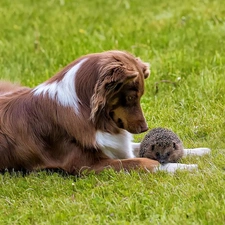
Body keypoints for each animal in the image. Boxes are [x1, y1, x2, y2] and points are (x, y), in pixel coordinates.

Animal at [0, 51, 199, 176]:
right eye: (130, 98)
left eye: (140, 96)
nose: (145, 128)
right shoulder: (86, 165)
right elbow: (144, 162)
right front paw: (188, 167)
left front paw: (200, 151)